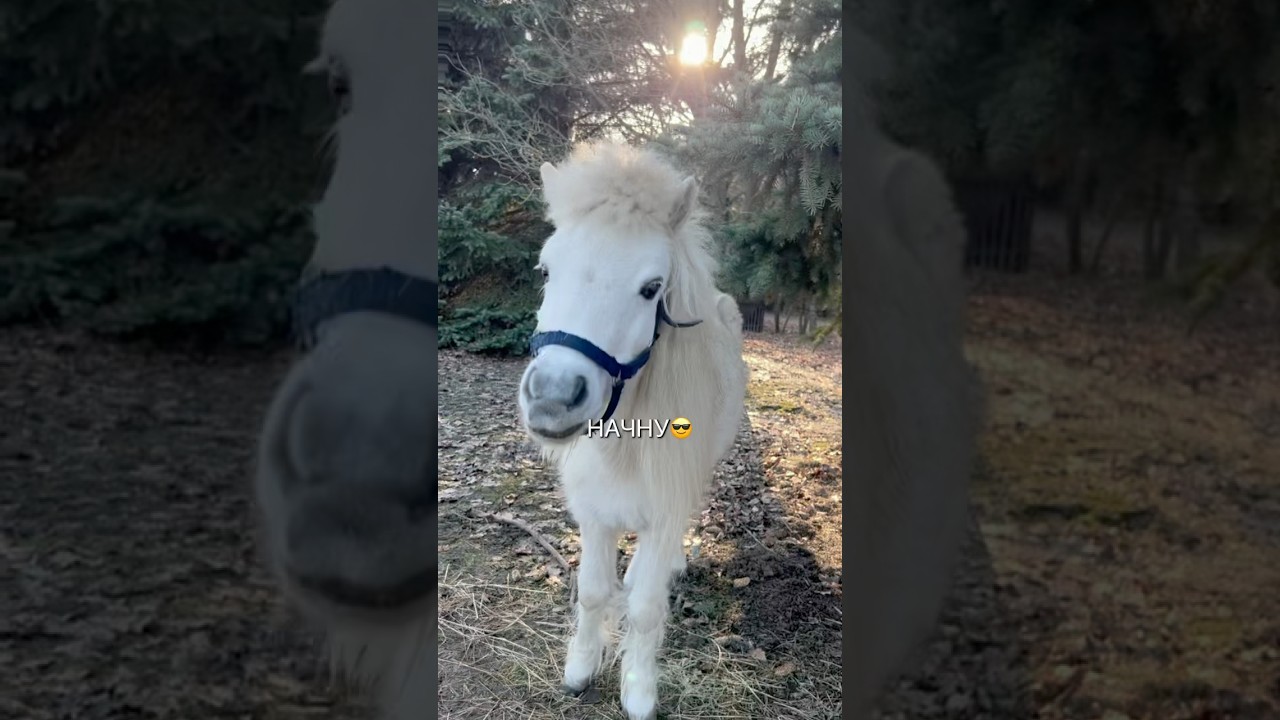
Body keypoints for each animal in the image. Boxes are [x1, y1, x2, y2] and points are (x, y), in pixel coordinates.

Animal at [516, 140, 749, 720]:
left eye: (651, 289)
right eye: (546, 271)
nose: (553, 397)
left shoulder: (665, 505)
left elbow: (644, 605)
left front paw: (638, 689)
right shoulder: (595, 513)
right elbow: (594, 590)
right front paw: (581, 669)